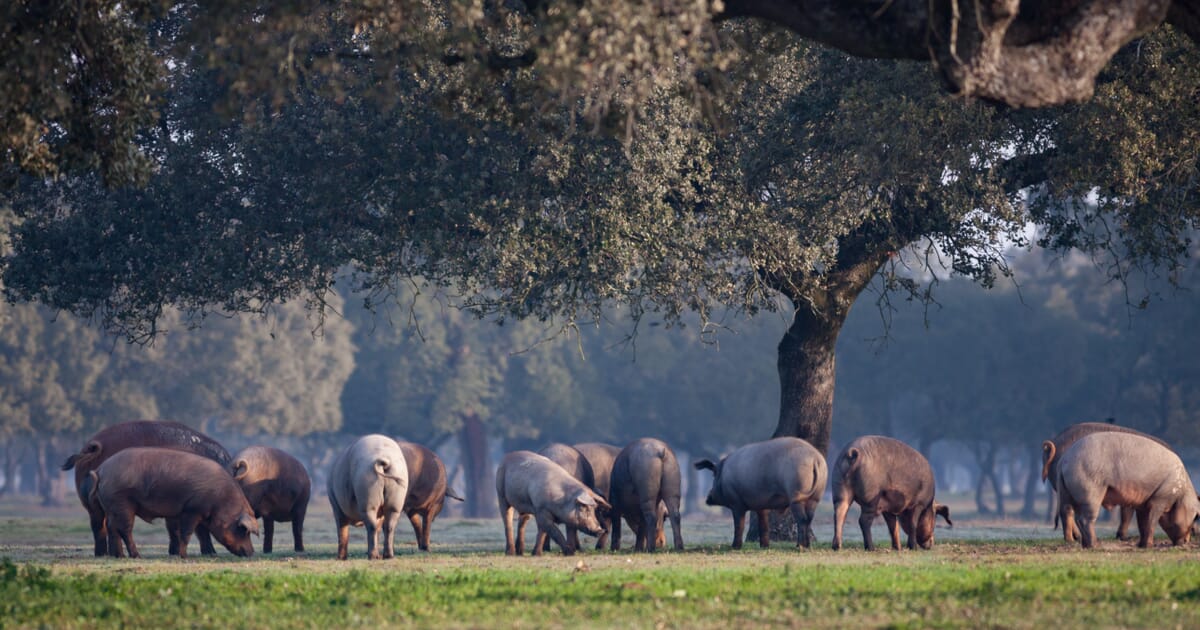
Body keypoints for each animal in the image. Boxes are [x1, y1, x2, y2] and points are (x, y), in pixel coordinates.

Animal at [62, 420, 235, 552]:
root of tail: (93, 448)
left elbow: (174, 527)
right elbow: (197, 528)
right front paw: (209, 552)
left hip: (93, 504)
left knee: (98, 526)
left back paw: (104, 554)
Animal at [88, 444, 258, 556]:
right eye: (242, 530)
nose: (251, 552)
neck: (221, 500)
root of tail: (100, 470)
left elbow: (180, 531)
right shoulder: (192, 509)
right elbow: (186, 532)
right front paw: (183, 556)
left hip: (110, 506)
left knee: (111, 527)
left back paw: (119, 556)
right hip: (121, 502)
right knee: (124, 529)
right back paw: (136, 556)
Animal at [696, 434, 825, 547]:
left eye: (714, 474)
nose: (708, 498)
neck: (724, 474)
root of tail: (814, 458)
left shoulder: (736, 503)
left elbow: (739, 525)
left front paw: (734, 547)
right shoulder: (762, 506)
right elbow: (763, 524)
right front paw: (765, 546)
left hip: (796, 495)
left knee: (802, 519)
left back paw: (800, 546)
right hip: (815, 497)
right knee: (809, 518)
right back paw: (807, 545)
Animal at [1036, 422, 1166, 540]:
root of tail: (1054, 443)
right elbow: (1127, 511)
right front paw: (1124, 537)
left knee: (1068, 508)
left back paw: (1077, 537)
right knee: (1070, 510)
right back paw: (1076, 538)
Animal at [1056, 429, 1195, 547]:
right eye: (1195, 517)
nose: (1186, 541)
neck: (1180, 493)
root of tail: (1064, 459)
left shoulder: (1143, 503)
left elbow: (1143, 523)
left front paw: (1141, 546)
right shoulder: (1160, 498)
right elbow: (1152, 520)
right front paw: (1149, 546)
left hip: (1065, 492)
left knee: (1068, 511)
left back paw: (1084, 545)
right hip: (1090, 491)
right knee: (1084, 519)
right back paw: (1095, 545)